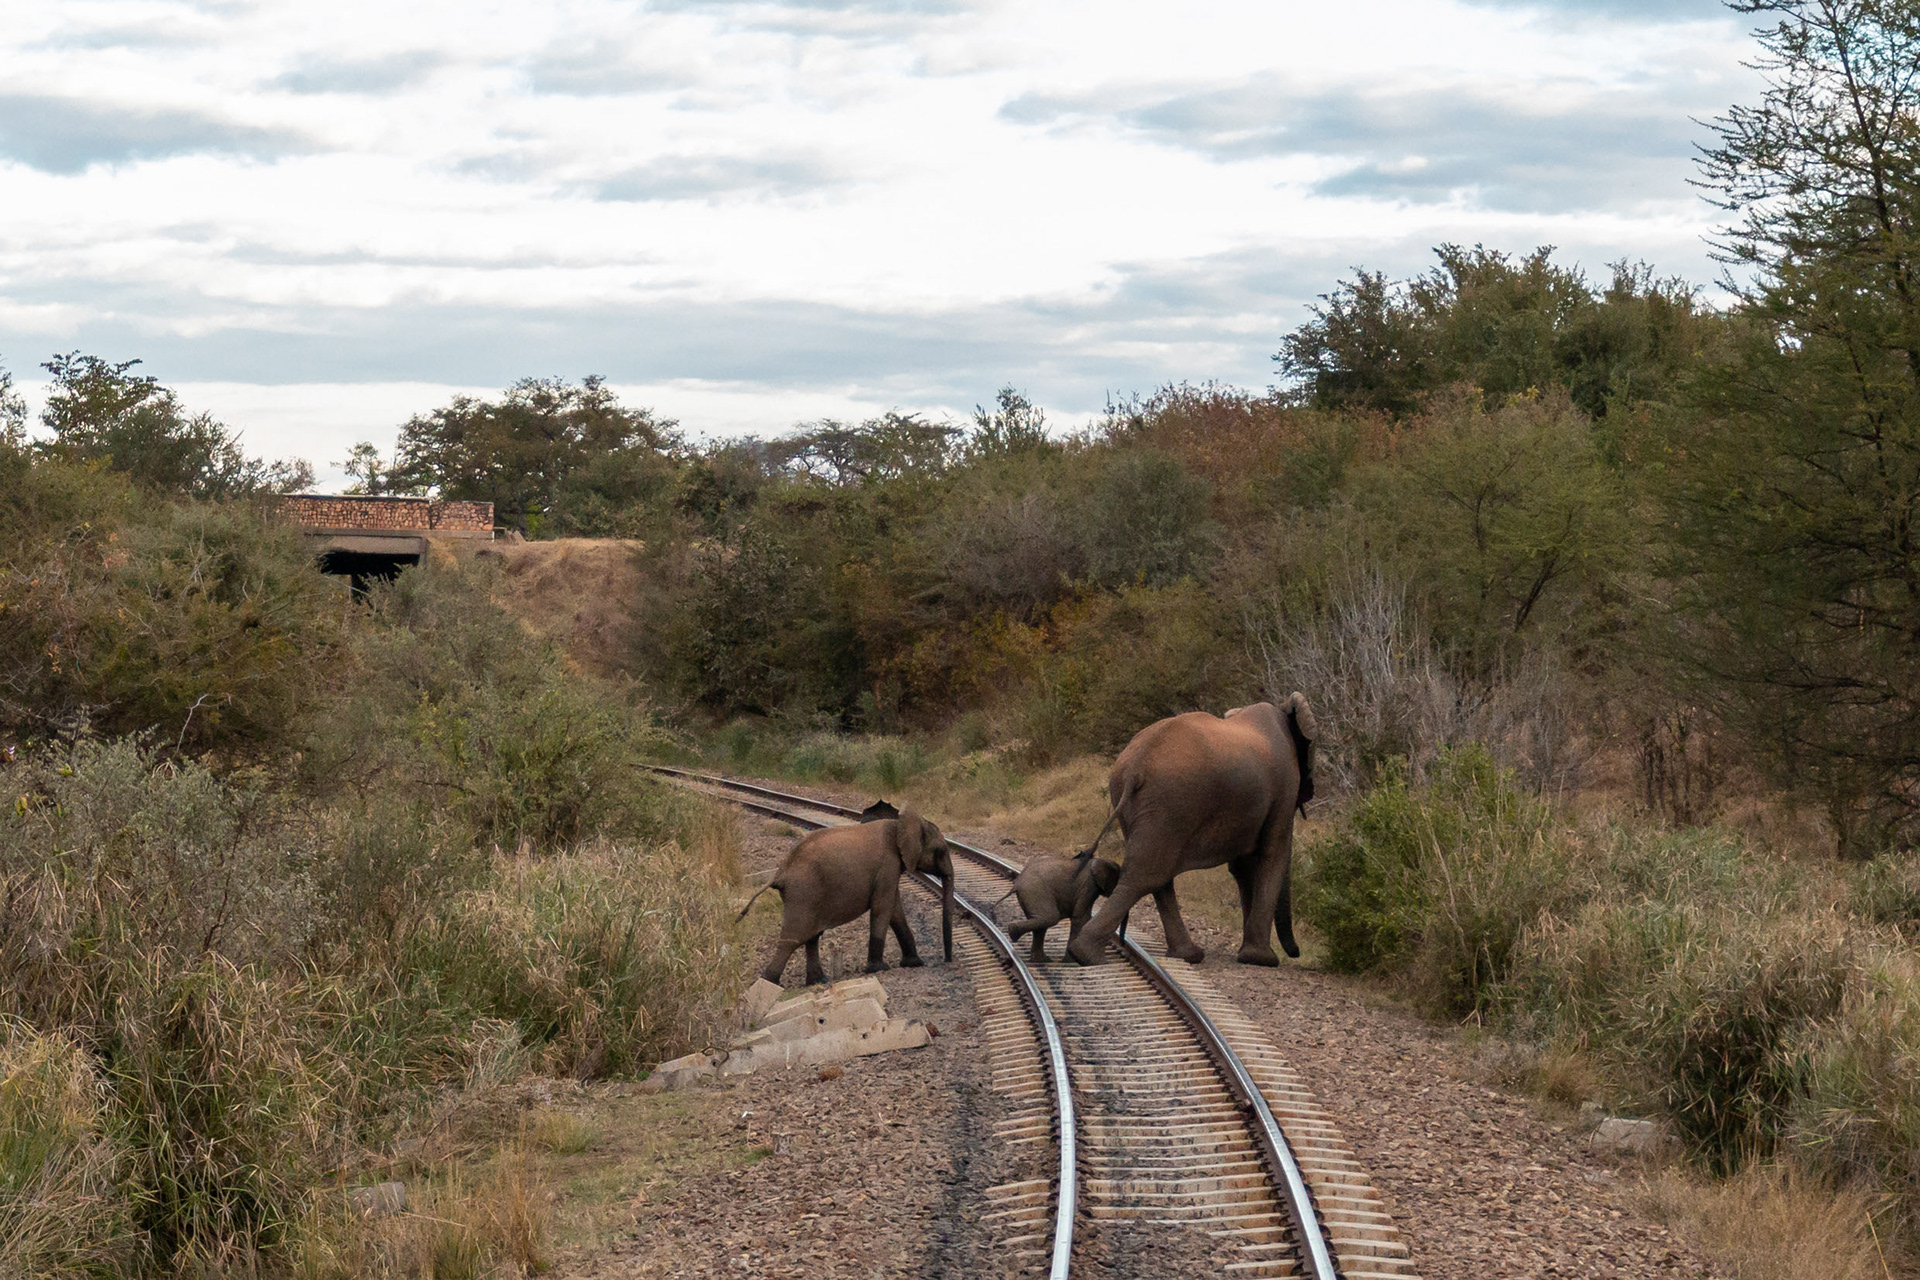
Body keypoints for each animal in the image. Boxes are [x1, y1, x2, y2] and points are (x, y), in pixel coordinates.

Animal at [737, 811, 956, 986]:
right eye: (941, 851)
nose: (947, 960)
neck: (899, 824)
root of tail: (781, 873)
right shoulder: (888, 865)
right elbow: (883, 907)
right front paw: (879, 969)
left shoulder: (890, 869)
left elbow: (894, 910)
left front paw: (914, 964)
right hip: (803, 893)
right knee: (793, 939)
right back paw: (769, 983)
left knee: (812, 936)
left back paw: (818, 981)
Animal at [992, 851, 1124, 962]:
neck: (1098, 861)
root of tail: (1017, 883)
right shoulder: (1088, 886)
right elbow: (1081, 918)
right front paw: (1071, 962)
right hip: (1036, 891)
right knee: (1050, 918)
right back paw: (1013, 933)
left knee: (1042, 923)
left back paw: (1040, 958)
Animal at [1066, 692, 1317, 969]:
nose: (1296, 953)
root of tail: (1135, 767)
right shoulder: (1284, 789)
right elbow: (1272, 856)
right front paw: (1262, 960)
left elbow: (1243, 867)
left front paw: (1250, 955)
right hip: (1170, 800)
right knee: (1147, 874)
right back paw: (1086, 953)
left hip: (1135, 799)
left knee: (1157, 875)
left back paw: (1185, 955)